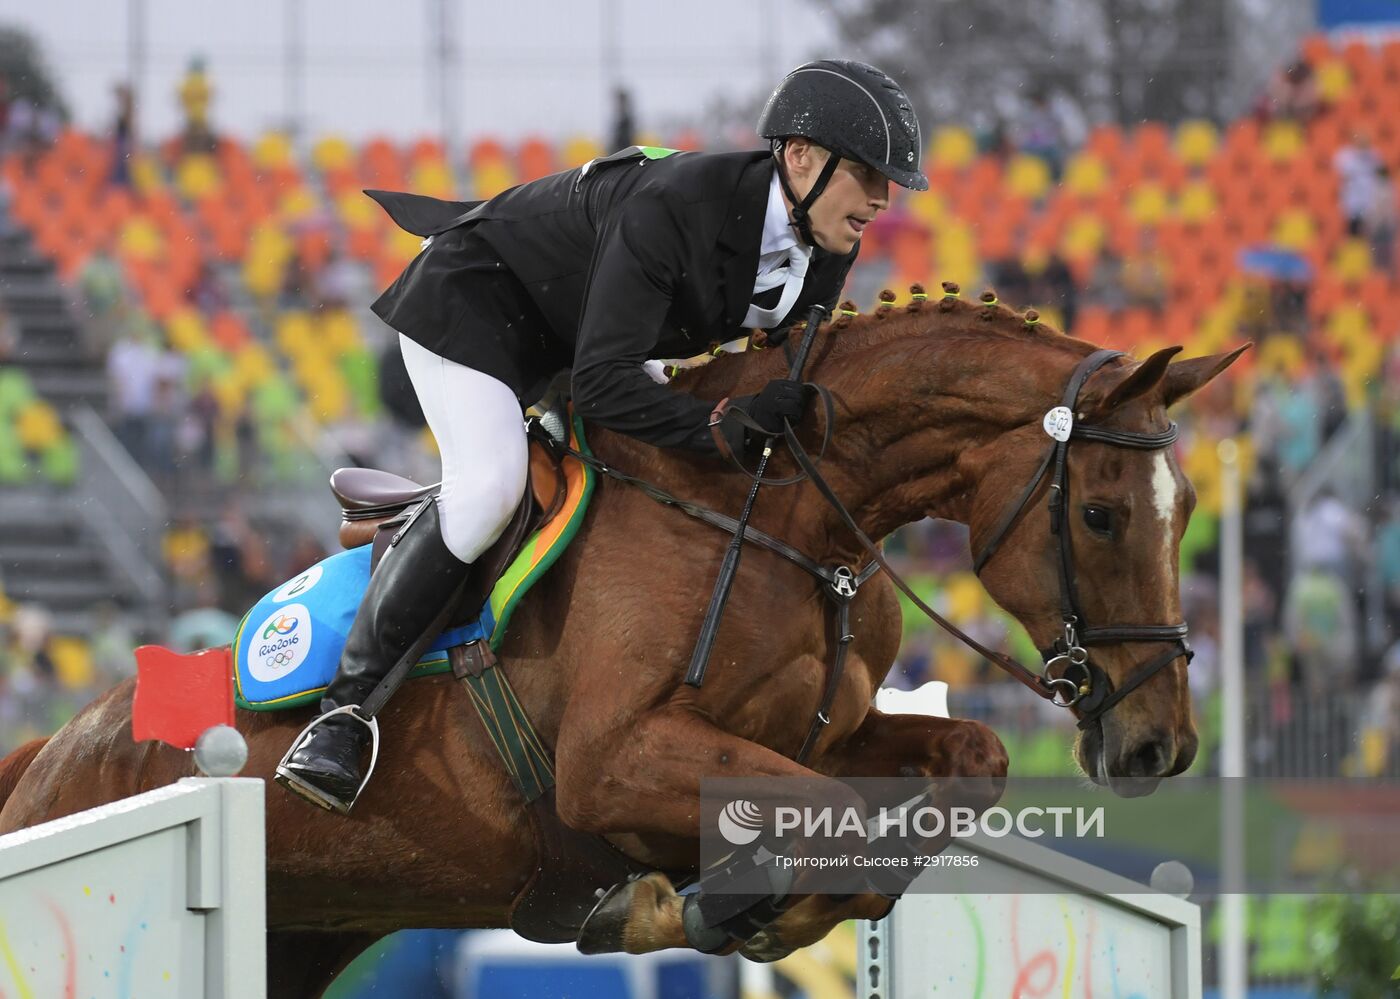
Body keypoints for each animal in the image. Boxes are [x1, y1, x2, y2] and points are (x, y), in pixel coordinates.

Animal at [2, 285, 1248, 990]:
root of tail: (56, 748)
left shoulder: (820, 737)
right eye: (1100, 514)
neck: (776, 513)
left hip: (298, 935)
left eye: (1188, 509)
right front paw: (702, 904)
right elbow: (822, 821)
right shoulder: (613, 762)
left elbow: (960, 765)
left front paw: (728, 904)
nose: (1157, 744)